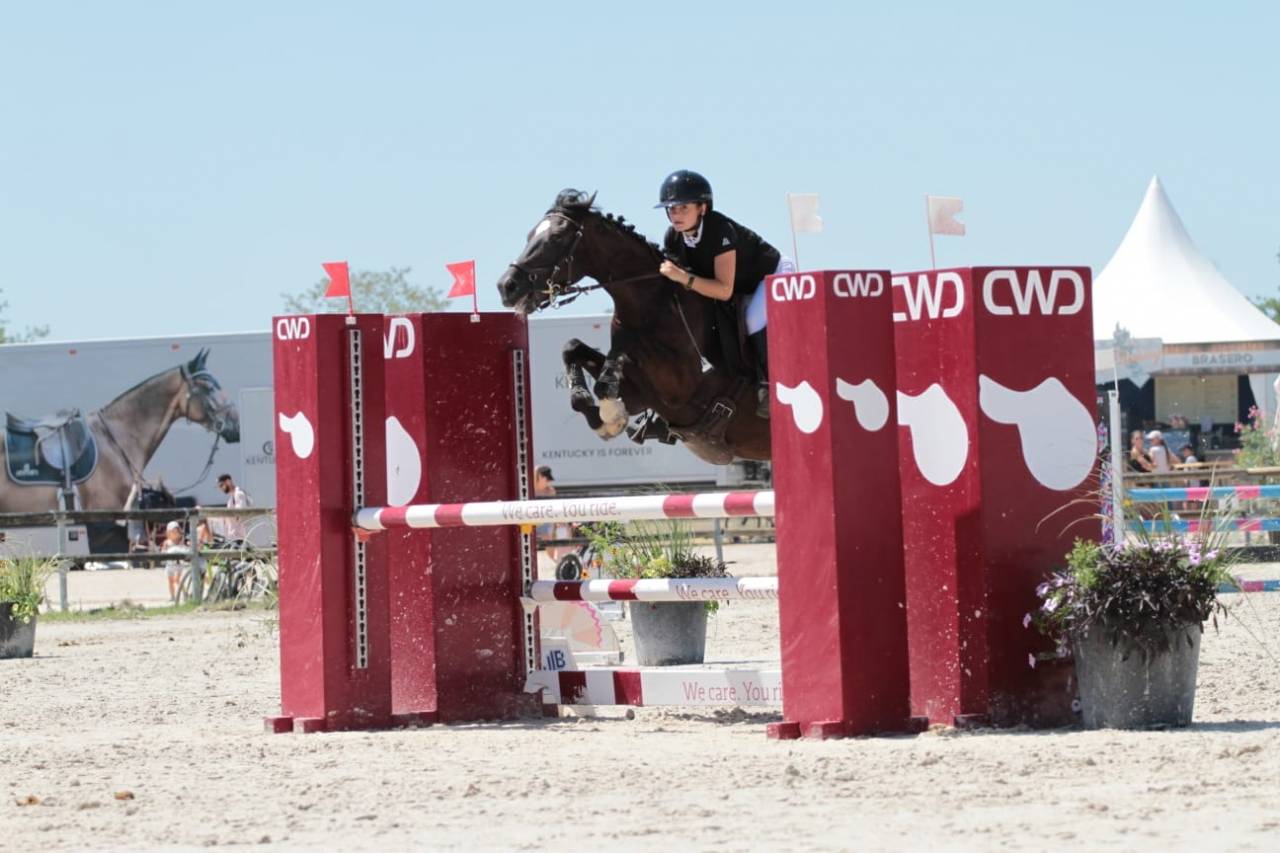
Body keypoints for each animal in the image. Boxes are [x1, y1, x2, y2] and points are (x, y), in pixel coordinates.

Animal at [496, 189, 769, 464]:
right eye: (530, 235)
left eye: (556, 237)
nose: (507, 286)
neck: (651, 305)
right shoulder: (641, 394)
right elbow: (574, 349)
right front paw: (602, 419)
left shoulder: (678, 389)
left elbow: (613, 370)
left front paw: (611, 415)